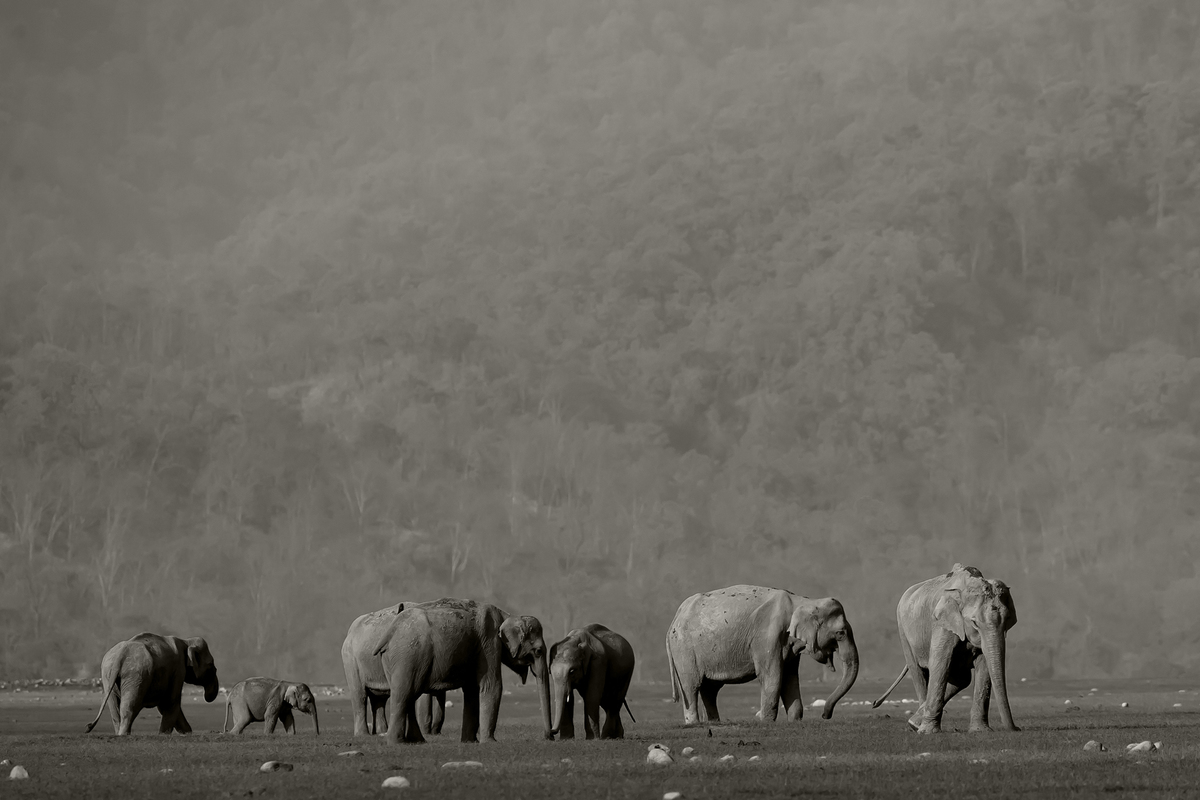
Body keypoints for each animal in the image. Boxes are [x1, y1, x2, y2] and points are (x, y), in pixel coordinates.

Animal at [85, 632, 219, 735]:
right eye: (211, 665)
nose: (207, 697)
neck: (186, 641)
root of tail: (119, 656)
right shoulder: (178, 669)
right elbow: (171, 702)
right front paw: (163, 735)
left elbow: (164, 704)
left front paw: (187, 733)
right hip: (136, 675)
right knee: (130, 707)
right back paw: (123, 735)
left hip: (108, 677)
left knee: (115, 709)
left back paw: (119, 734)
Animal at [352, 597, 553, 743]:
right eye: (538, 651)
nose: (549, 736)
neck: (506, 615)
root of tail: (390, 631)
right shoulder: (488, 642)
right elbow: (491, 686)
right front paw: (490, 742)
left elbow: (472, 690)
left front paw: (469, 742)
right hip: (408, 655)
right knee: (403, 693)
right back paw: (397, 742)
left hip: (392, 659)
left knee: (407, 694)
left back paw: (416, 741)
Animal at [666, 585, 859, 724]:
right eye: (840, 633)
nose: (825, 716)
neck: (803, 601)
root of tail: (674, 619)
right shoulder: (767, 637)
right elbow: (772, 677)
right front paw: (766, 722)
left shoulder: (789, 644)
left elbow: (790, 678)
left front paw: (794, 721)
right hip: (684, 649)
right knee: (692, 686)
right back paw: (694, 724)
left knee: (710, 689)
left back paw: (714, 723)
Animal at [872, 564, 1019, 734]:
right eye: (974, 622)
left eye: (1007, 620)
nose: (1017, 728)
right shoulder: (941, 623)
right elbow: (940, 662)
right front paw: (928, 732)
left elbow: (984, 665)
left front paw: (981, 731)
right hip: (903, 631)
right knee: (918, 671)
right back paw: (916, 725)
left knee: (962, 679)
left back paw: (917, 721)